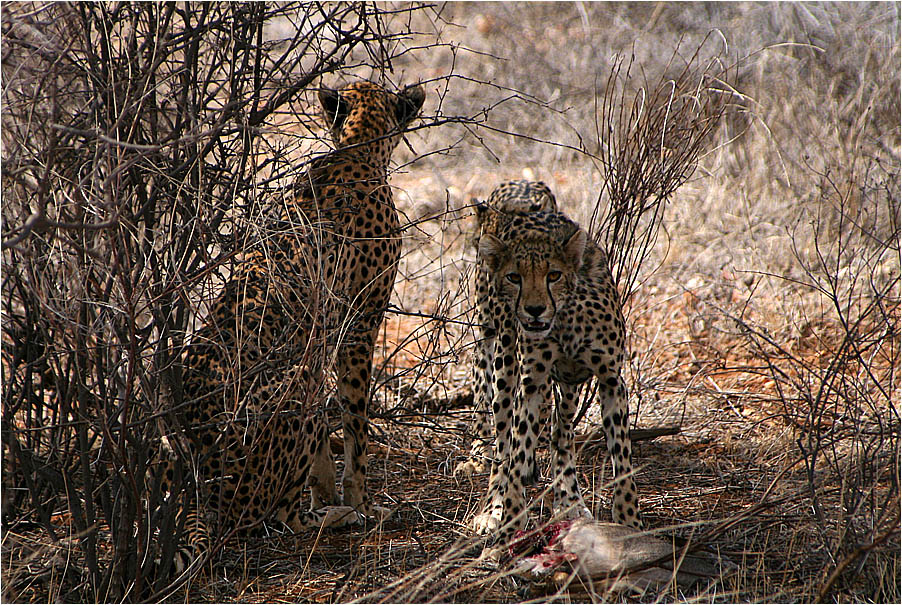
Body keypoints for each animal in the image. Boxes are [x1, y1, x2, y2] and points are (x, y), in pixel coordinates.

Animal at [161, 80, 426, 568]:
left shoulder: (322, 344)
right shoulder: (359, 329)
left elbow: (322, 438)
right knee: (273, 520)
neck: (358, 149)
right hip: (287, 386)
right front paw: (361, 503)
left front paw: (324, 492)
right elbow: (355, 426)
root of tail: (201, 479)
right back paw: (338, 516)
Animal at [466, 197, 644, 544]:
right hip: (503, 362)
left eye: (554, 275)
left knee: (561, 434)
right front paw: (508, 515)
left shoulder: (611, 380)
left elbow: (622, 458)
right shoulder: (531, 384)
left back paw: (569, 502)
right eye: (514, 277)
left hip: (570, 386)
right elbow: (515, 452)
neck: (566, 317)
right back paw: (493, 506)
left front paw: (629, 521)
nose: (534, 310)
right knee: (503, 440)